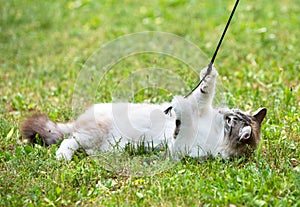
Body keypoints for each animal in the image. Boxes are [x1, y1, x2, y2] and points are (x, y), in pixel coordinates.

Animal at [20, 67, 268, 161]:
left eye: (229, 120)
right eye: (232, 114)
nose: (224, 111)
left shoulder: (181, 139)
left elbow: (200, 95)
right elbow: (202, 92)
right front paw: (207, 72)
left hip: (92, 139)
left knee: (69, 141)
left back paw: (64, 155)